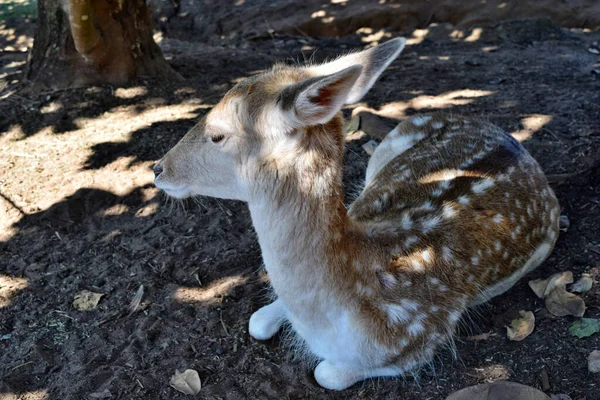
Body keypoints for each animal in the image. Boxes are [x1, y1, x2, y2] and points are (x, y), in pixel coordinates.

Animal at [155, 39, 564, 390]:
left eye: (218, 135)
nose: (158, 168)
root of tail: (512, 140)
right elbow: (257, 321)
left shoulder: (421, 341)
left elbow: (326, 373)